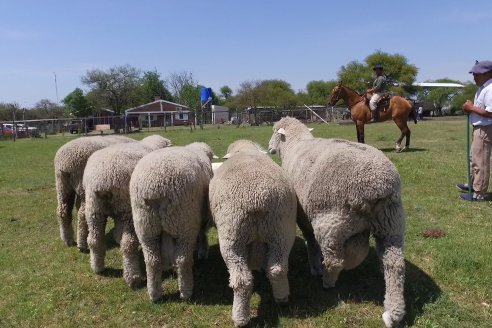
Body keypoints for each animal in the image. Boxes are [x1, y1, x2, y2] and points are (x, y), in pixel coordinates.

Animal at [82, 135, 171, 288]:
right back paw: (133, 278)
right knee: (128, 244)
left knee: (94, 239)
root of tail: (103, 179)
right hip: (127, 210)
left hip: (94, 209)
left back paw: (97, 267)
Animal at [129, 144, 215, 302]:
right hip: (183, 224)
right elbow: (202, 234)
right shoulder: (201, 217)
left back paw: (154, 294)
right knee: (182, 259)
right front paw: (202, 252)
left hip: (146, 227)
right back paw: (186, 291)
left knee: (152, 261)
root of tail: (155, 188)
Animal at [209, 140, 296, 326]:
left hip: (232, 238)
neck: (244, 150)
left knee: (242, 281)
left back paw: (239, 318)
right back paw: (282, 298)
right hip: (281, 231)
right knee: (277, 269)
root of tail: (257, 198)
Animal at [270, 117, 404, 328]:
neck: (295, 144)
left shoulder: (303, 215)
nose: (269, 148)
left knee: (335, 260)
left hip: (331, 222)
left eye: (274, 132)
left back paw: (327, 281)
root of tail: (378, 185)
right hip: (391, 222)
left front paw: (315, 266)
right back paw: (394, 313)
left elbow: (310, 240)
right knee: (394, 264)